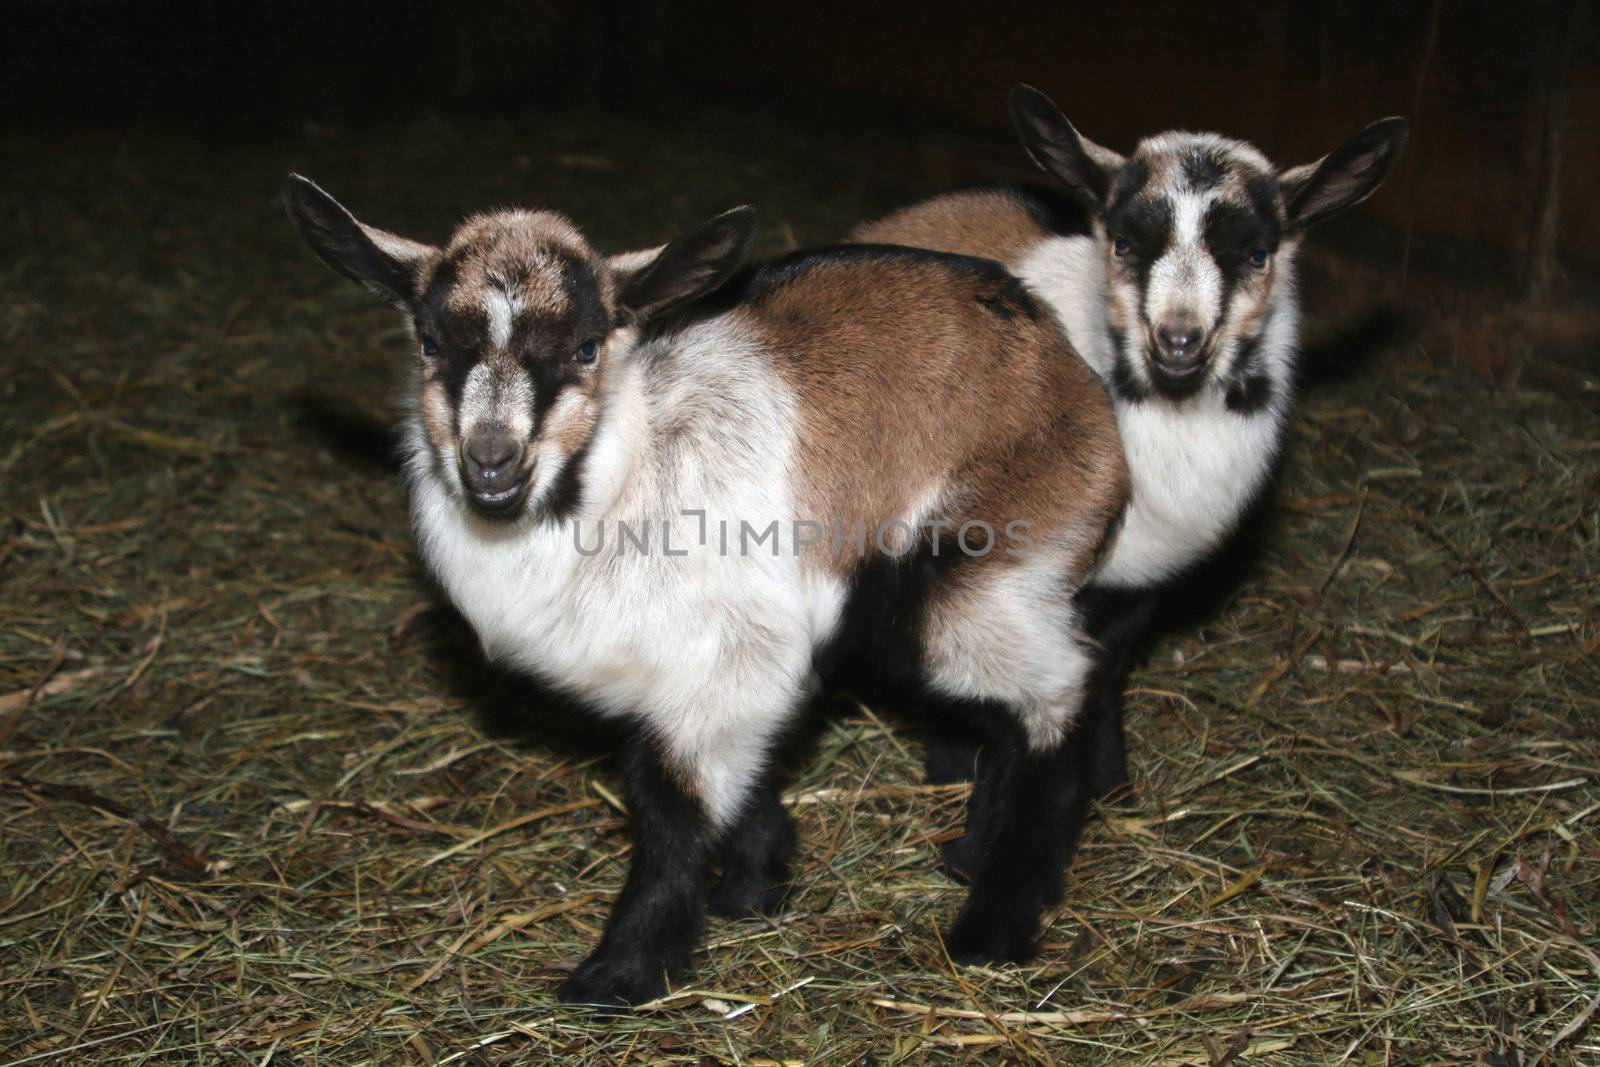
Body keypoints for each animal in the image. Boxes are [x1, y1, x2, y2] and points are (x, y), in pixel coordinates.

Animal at [281, 171, 1126, 1004]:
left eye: (587, 345)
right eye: (429, 341)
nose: (492, 460)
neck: (625, 481)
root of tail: (1063, 362)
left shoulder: (732, 657)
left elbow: (669, 805)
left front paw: (621, 971)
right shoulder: (719, 680)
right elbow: (737, 780)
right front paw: (754, 884)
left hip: (986, 565)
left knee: (1060, 692)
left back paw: (994, 925)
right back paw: (969, 853)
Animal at [857, 87, 1408, 812]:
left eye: (1256, 254)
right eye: (1123, 242)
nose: (1179, 340)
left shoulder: (1131, 593)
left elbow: (1106, 673)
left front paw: (1112, 786)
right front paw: (958, 770)